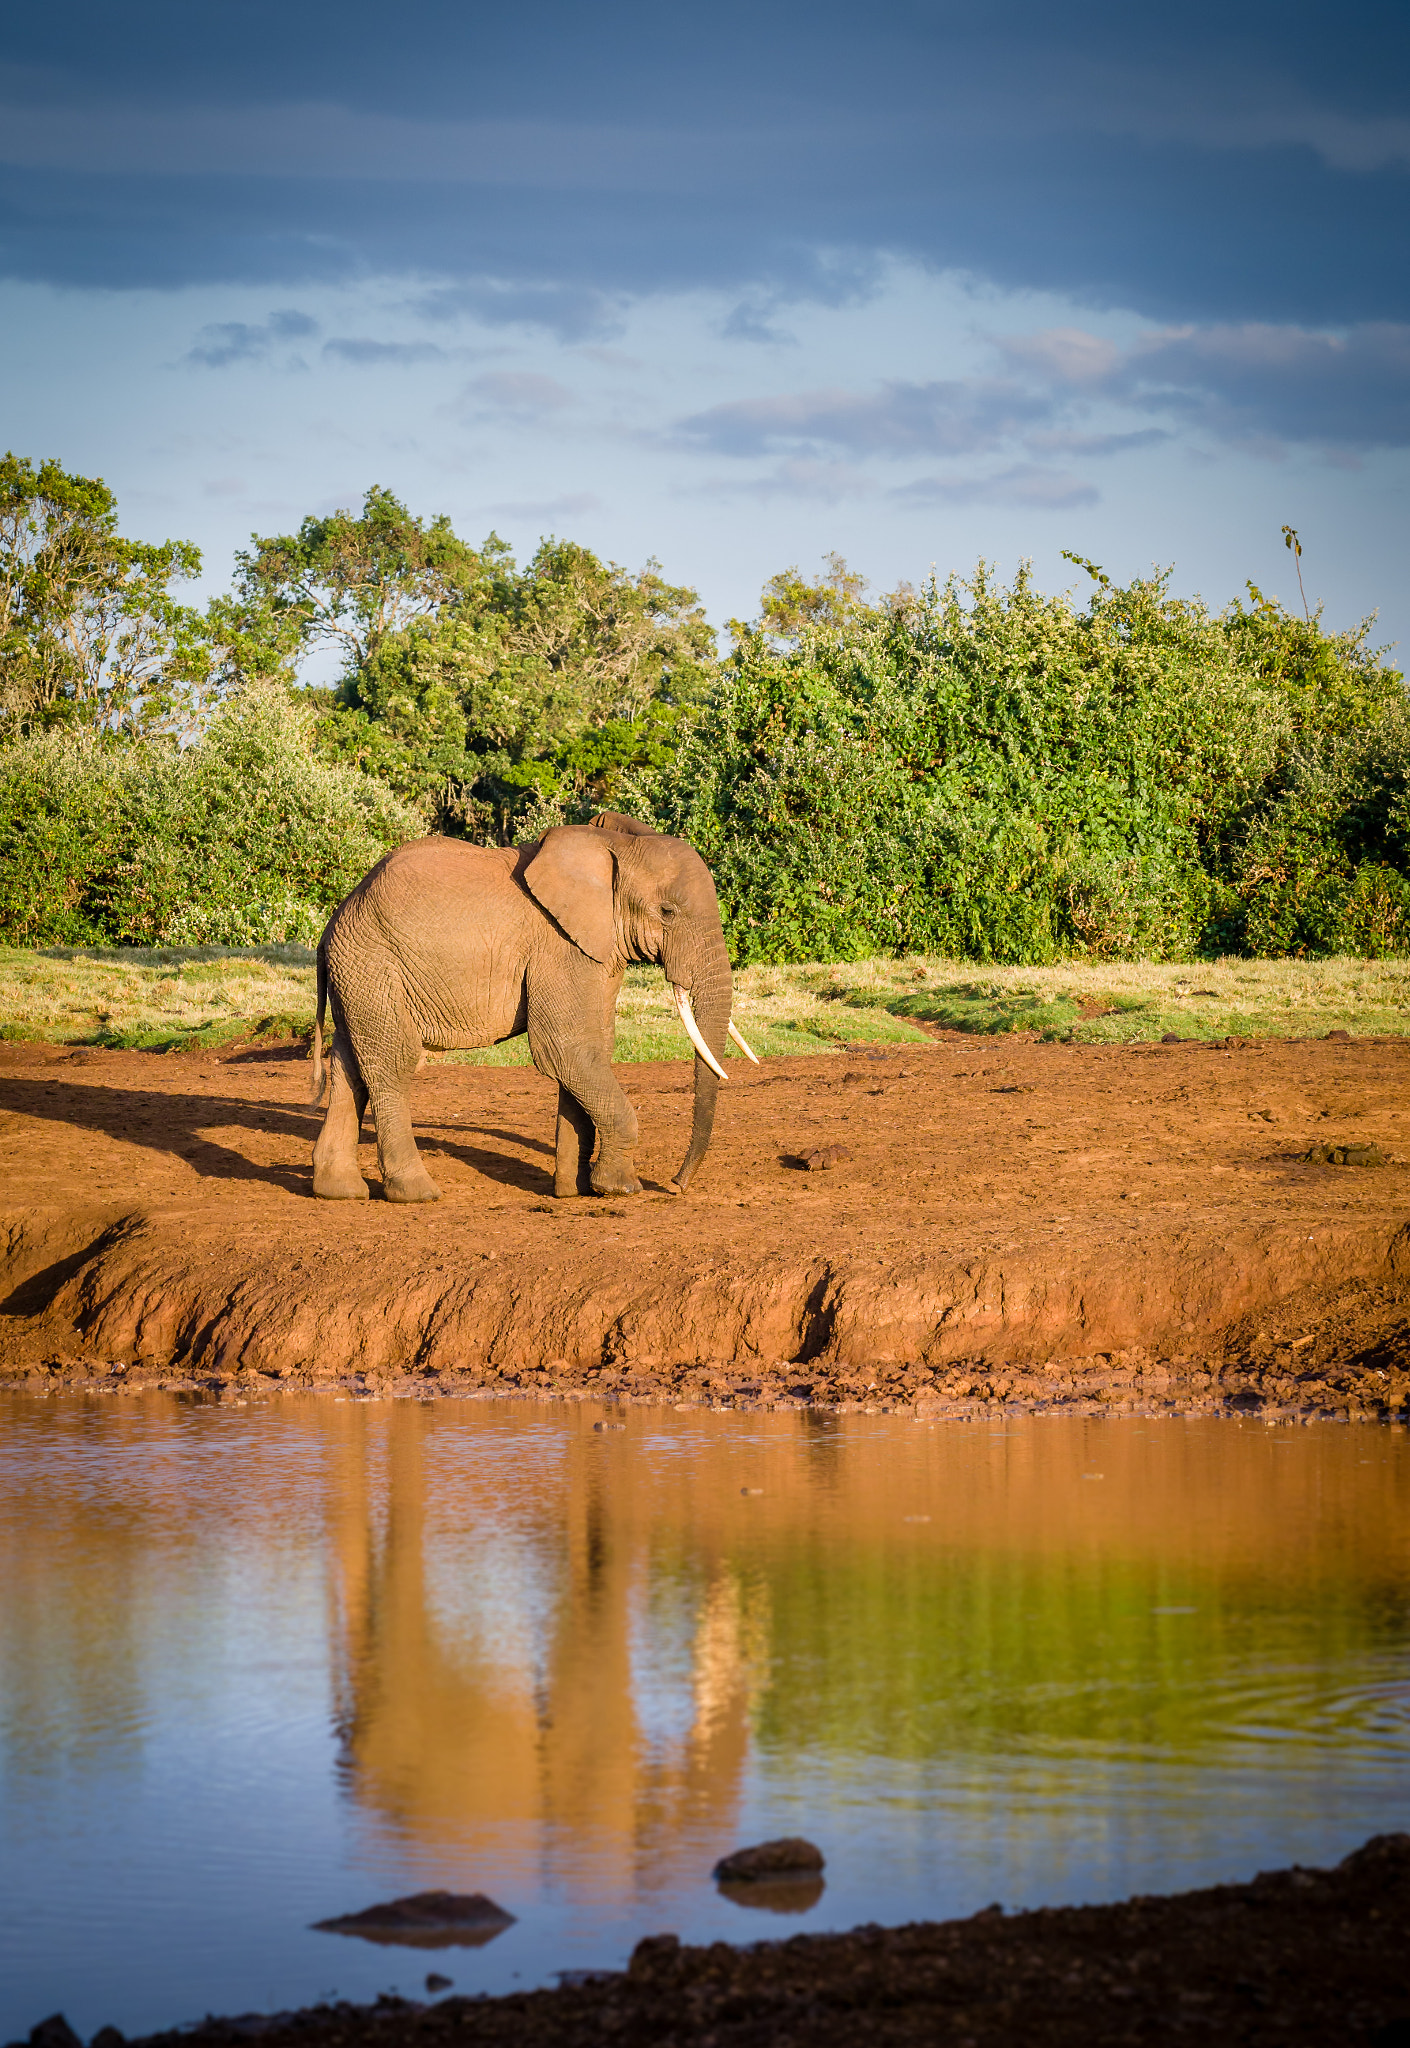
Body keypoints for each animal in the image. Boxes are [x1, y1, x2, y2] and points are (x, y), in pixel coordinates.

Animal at [307, 813, 756, 1203]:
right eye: (667, 911)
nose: (676, 1185)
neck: (614, 845)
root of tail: (334, 921)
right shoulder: (558, 947)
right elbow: (565, 1048)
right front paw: (620, 1188)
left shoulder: (595, 949)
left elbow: (593, 1048)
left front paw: (574, 1190)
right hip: (374, 962)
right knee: (392, 1063)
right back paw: (416, 1194)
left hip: (359, 974)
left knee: (350, 1063)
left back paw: (339, 1191)